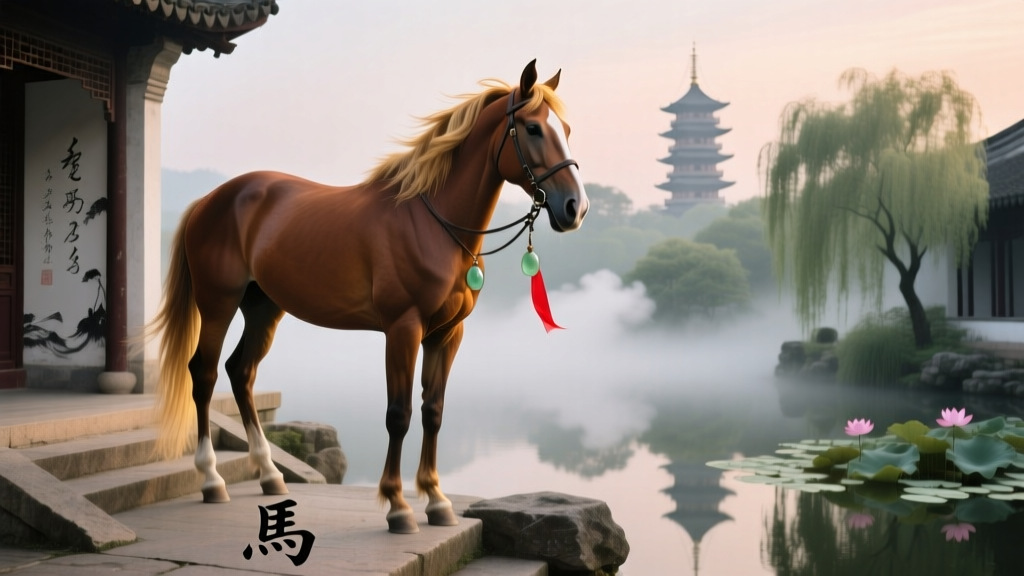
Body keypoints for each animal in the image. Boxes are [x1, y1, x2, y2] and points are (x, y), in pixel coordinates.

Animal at [149, 60, 588, 534]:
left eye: (565, 128)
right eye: (532, 128)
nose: (575, 207)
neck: (433, 224)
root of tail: (210, 200)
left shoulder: (447, 335)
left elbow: (433, 412)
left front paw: (437, 500)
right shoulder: (402, 329)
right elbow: (399, 415)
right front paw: (397, 506)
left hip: (264, 309)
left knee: (240, 372)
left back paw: (269, 475)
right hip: (218, 304)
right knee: (205, 374)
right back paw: (212, 480)